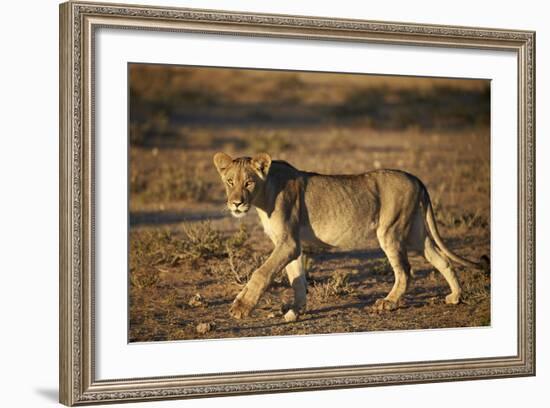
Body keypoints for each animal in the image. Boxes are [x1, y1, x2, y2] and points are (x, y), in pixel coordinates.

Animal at [212, 151, 492, 320]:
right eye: (229, 181)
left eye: (248, 182)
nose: (236, 203)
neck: (262, 197)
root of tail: (415, 177)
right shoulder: (291, 244)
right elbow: (297, 278)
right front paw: (296, 311)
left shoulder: (288, 243)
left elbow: (261, 273)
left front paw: (240, 307)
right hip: (414, 232)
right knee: (441, 259)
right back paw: (455, 297)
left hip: (389, 230)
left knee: (405, 271)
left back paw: (388, 302)